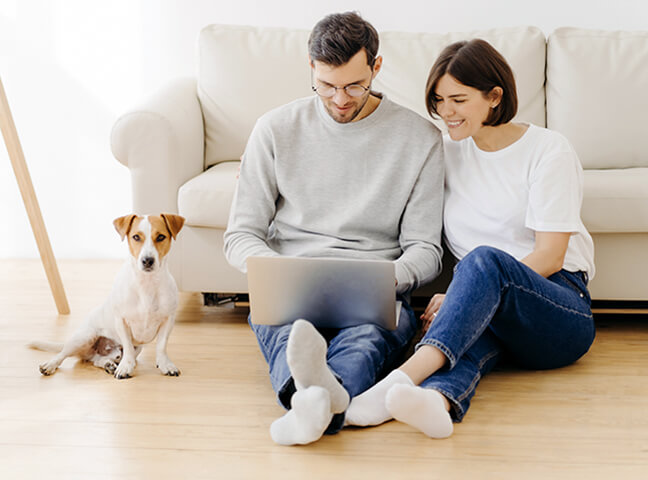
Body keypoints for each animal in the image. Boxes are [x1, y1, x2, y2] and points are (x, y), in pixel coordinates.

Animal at [31, 214, 186, 378]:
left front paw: (165, 365)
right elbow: (128, 347)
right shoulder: (122, 321)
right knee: (62, 354)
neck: (146, 284)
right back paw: (50, 364)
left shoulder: (168, 320)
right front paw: (126, 367)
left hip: (133, 349)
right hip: (84, 337)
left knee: (97, 360)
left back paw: (108, 364)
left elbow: (161, 346)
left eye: (161, 236)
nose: (147, 260)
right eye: (136, 237)